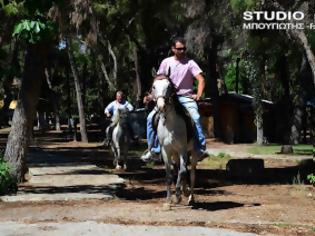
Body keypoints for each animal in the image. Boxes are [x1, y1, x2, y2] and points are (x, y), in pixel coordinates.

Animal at [151, 74, 199, 207]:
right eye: (154, 86)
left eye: (169, 86)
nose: (161, 106)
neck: (170, 125)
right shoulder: (166, 150)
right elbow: (169, 174)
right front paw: (168, 199)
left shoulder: (182, 150)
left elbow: (182, 171)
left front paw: (177, 196)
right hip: (175, 153)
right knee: (178, 169)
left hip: (192, 153)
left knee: (191, 174)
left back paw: (190, 197)